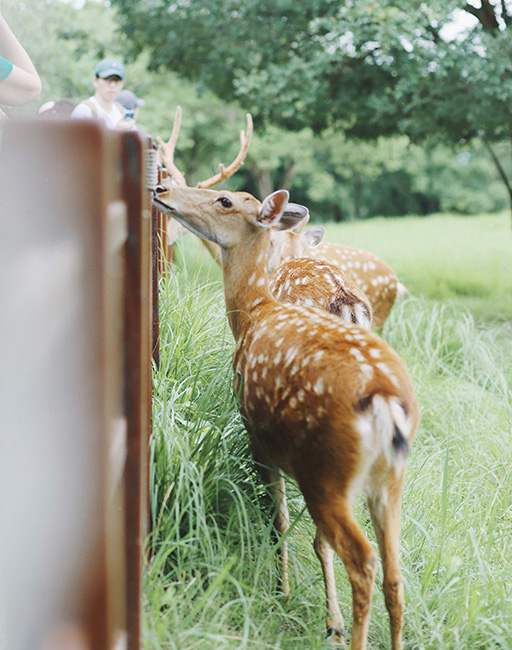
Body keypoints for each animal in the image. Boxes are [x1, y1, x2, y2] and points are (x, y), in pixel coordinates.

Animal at [152, 182, 420, 648]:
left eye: (225, 200)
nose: (164, 187)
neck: (254, 310)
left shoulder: (259, 436)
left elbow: (278, 519)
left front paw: (285, 592)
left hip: (324, 473)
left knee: (359, 558)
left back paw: (337, 625)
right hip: (388, 481)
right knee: (393, 572)